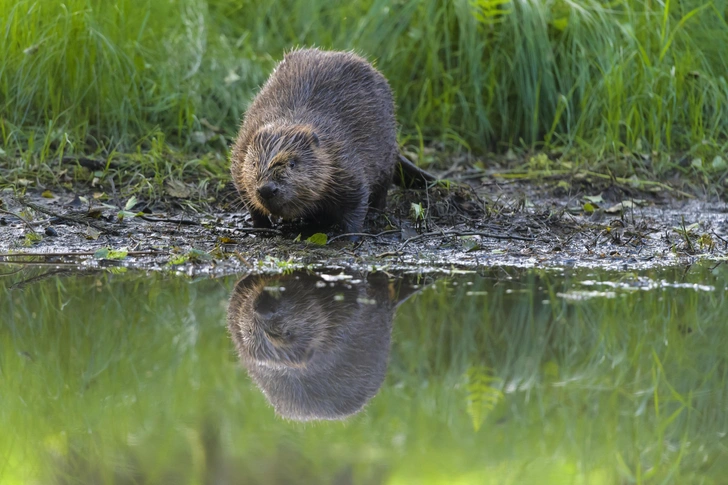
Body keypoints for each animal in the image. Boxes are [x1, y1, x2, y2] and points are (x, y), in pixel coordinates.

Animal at [230, 48, 400, 237]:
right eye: (253, 163)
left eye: (293, 164)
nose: (266, 189)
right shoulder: (241, 152)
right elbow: (249, 200)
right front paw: (262, 228)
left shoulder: (344, 159)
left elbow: (357, 201)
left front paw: (350, 236)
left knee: (382, 190)